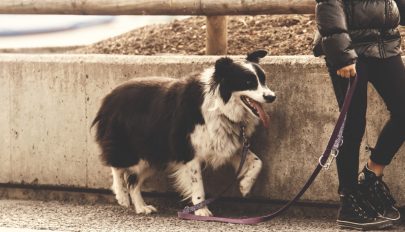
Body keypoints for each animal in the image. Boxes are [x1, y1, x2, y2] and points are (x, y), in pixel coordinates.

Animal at [91, 49, 274, 217]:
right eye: (248, 82)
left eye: (263, 80)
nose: (272, 97)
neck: (220, 106)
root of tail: (109, 98)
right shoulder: (188, 150)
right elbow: (197, 183)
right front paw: (201, 211)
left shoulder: (226, 143)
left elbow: (258, 162)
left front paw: (245, 186)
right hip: (132, 145)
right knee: (116, 165)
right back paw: (121, 195)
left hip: (154, 154)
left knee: (133, 182)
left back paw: (141, 207)